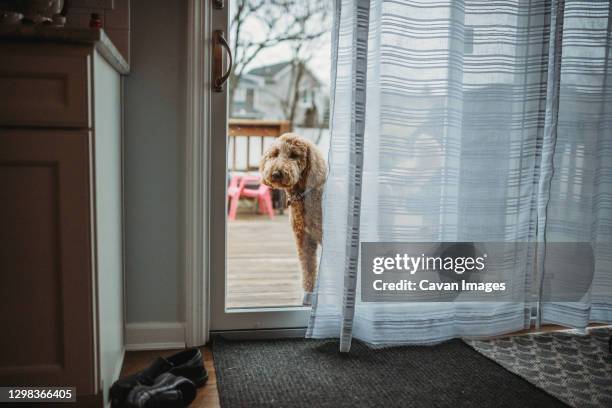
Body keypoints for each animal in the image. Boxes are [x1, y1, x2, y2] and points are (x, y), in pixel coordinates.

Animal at [258, 132, 326, 304]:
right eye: (274, 154)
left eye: (294, 155)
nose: (276, 173)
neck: (303, 195)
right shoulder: (303, 239)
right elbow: (308, 269)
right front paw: (308, 297)